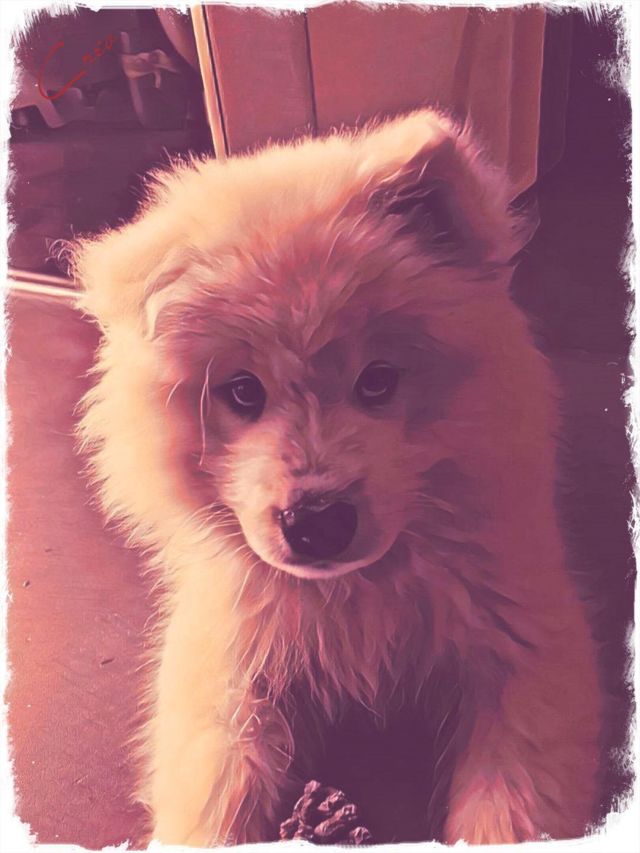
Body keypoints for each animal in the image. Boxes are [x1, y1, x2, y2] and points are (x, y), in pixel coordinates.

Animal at [72, 109, 602, 845]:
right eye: (242, 392)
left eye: (377, 381)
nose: (316, 522)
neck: (357, 598)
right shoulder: (228, 664)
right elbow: (213, 794)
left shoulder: (528, 653)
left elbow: (513, 806)